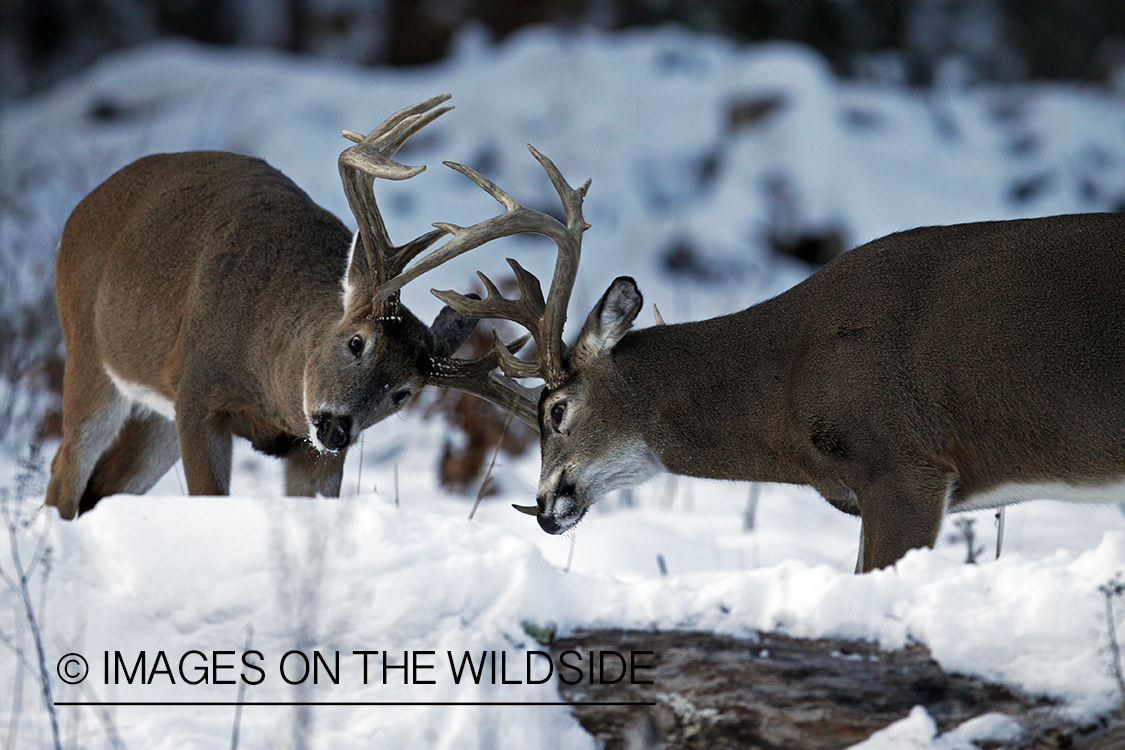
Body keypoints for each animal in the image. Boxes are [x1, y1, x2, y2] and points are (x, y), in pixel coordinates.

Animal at [47, 95, 531, 521]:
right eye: (357, 342)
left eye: (404, 392)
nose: (336, 427)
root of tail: (85, 205)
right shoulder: (199, 394)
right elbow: (209, 500)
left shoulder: (311, 451)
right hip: (88, 349)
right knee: (65, 466)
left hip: (159, 411)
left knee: (101, 486)